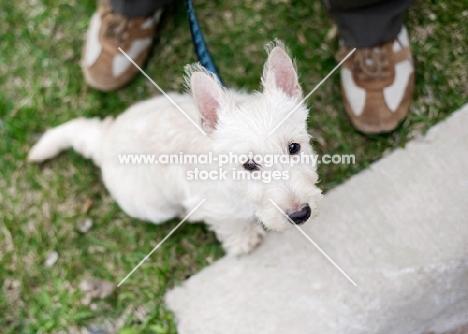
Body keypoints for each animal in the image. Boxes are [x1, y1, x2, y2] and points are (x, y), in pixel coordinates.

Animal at [29, 41, 322, 256]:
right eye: (249, 165)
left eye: (294, 147)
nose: (300, 215)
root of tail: (105, 138)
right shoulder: (218, 210)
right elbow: (231, 226)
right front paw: (245, 242)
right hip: (153, 208)